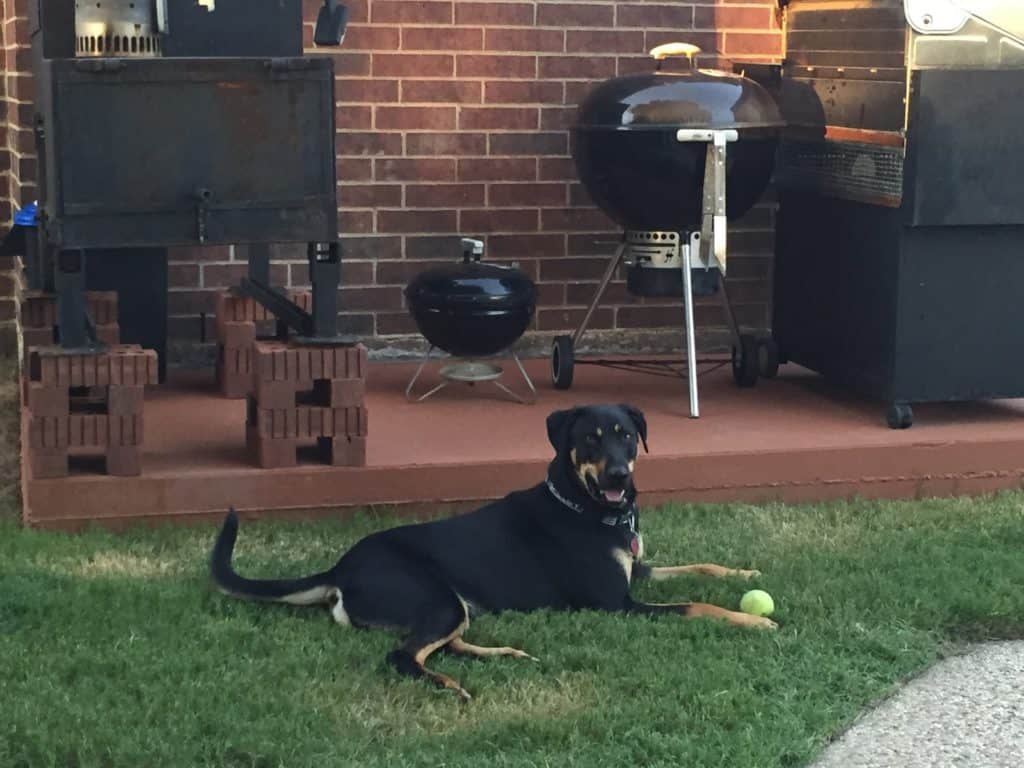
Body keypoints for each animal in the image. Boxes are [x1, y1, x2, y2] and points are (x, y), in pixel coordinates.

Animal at [214, 405, 774, 700]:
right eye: (591, 439)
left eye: (627, 436)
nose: (619, 474)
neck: (584, 505)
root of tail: (340, 568)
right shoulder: (618, 604)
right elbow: (696, 604)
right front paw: (755, 620)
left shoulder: (638, 570)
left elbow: (703, 566)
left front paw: (746, 571)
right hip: (436, 598)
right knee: (403, 655)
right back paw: (450, 686)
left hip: (455, 604)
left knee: (444, 643)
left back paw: (507, 653)